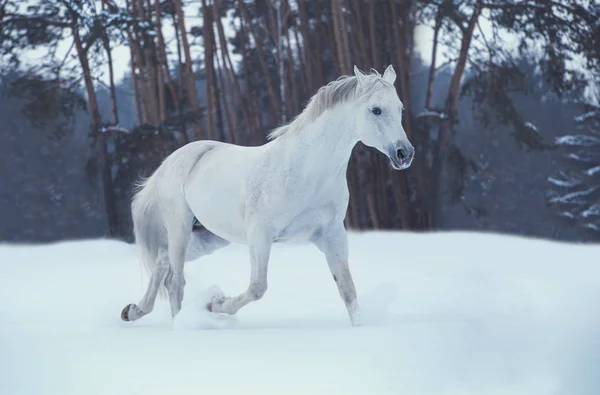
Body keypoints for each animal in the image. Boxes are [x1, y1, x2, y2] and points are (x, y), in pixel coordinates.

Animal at [120, 65, 412, 328]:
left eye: (400, 109)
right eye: (376, 109)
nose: (404, 154)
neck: (307, 172)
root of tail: (173, 160)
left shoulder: (332, 235)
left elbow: (348, 291)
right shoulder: (260, 234)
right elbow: (257, 287)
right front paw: (215, 304)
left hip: (208, 237)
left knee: (162, 261)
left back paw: (133, 311)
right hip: (180, 227)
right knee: (175, 280)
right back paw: (179, 323)